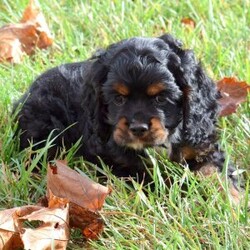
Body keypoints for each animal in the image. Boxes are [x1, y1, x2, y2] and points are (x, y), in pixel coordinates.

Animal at [14, 33, 242, 203]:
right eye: (119, 99)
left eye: (161, 98)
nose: (138, 128)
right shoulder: (123, 164)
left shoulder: (202, 145)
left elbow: (216, 172)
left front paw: (231, 202)